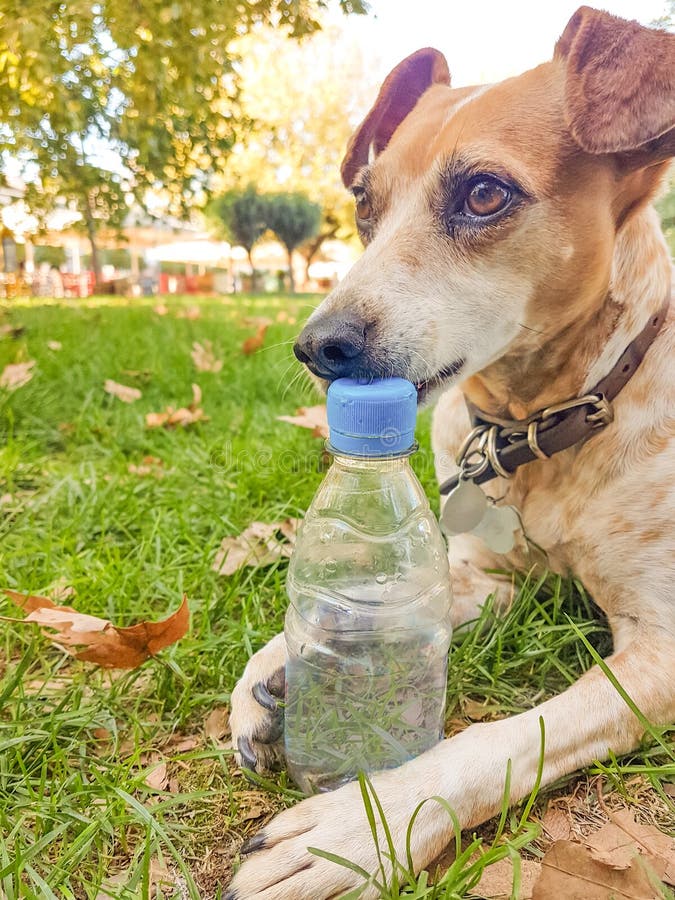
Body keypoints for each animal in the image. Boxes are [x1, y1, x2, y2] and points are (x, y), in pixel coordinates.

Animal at [228, 8, 675, 900]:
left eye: (483, 194)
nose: (316, 346)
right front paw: (280, 663)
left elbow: (501, 738)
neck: (538, 424)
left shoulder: (662, 649)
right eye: (363, 203)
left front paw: (361, 828)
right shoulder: (485, 576)